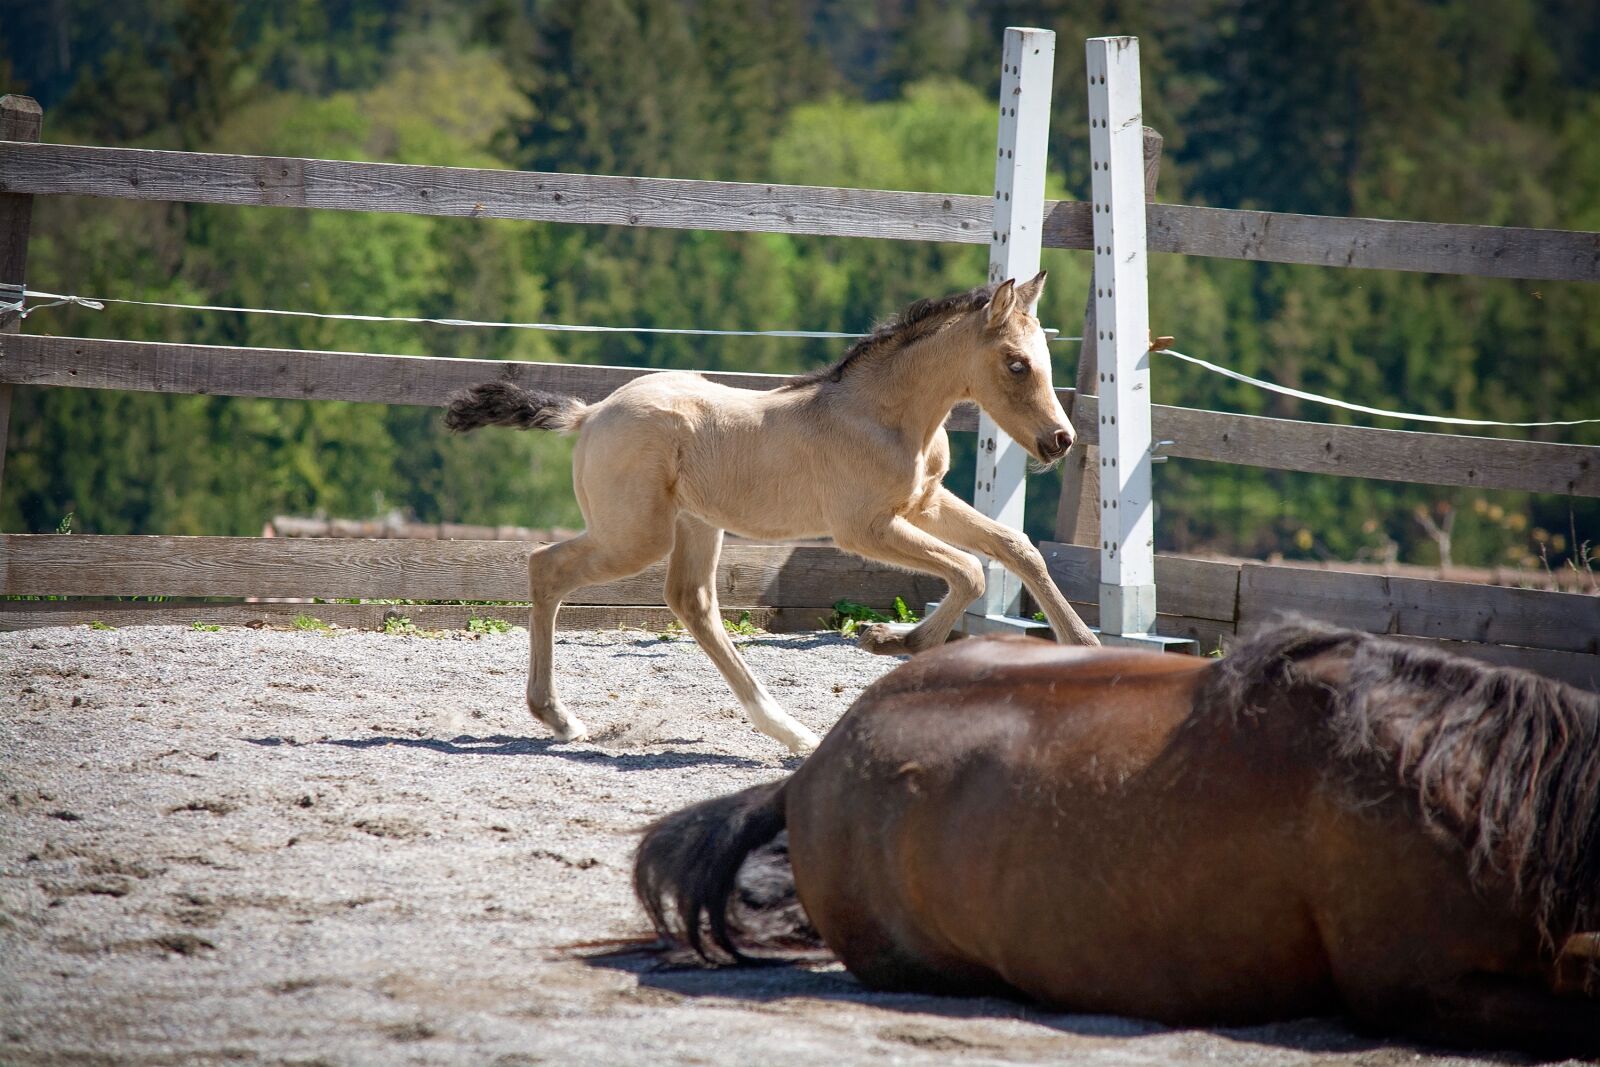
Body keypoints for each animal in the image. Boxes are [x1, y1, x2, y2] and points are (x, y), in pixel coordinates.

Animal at [444, 274, 1098, 753]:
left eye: (1043, 359)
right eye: (1016, 364)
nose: (1060, 441)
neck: (882, 415)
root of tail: (592, 412)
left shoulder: (925, 503)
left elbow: (1015, 547)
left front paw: (1084, 646)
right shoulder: (865, 528)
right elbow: (970, 571)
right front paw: (890, 641)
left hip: (695, 524)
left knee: (692, 603)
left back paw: (788, 730)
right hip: (636, 535)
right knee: (546, 567)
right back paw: (558, 717)